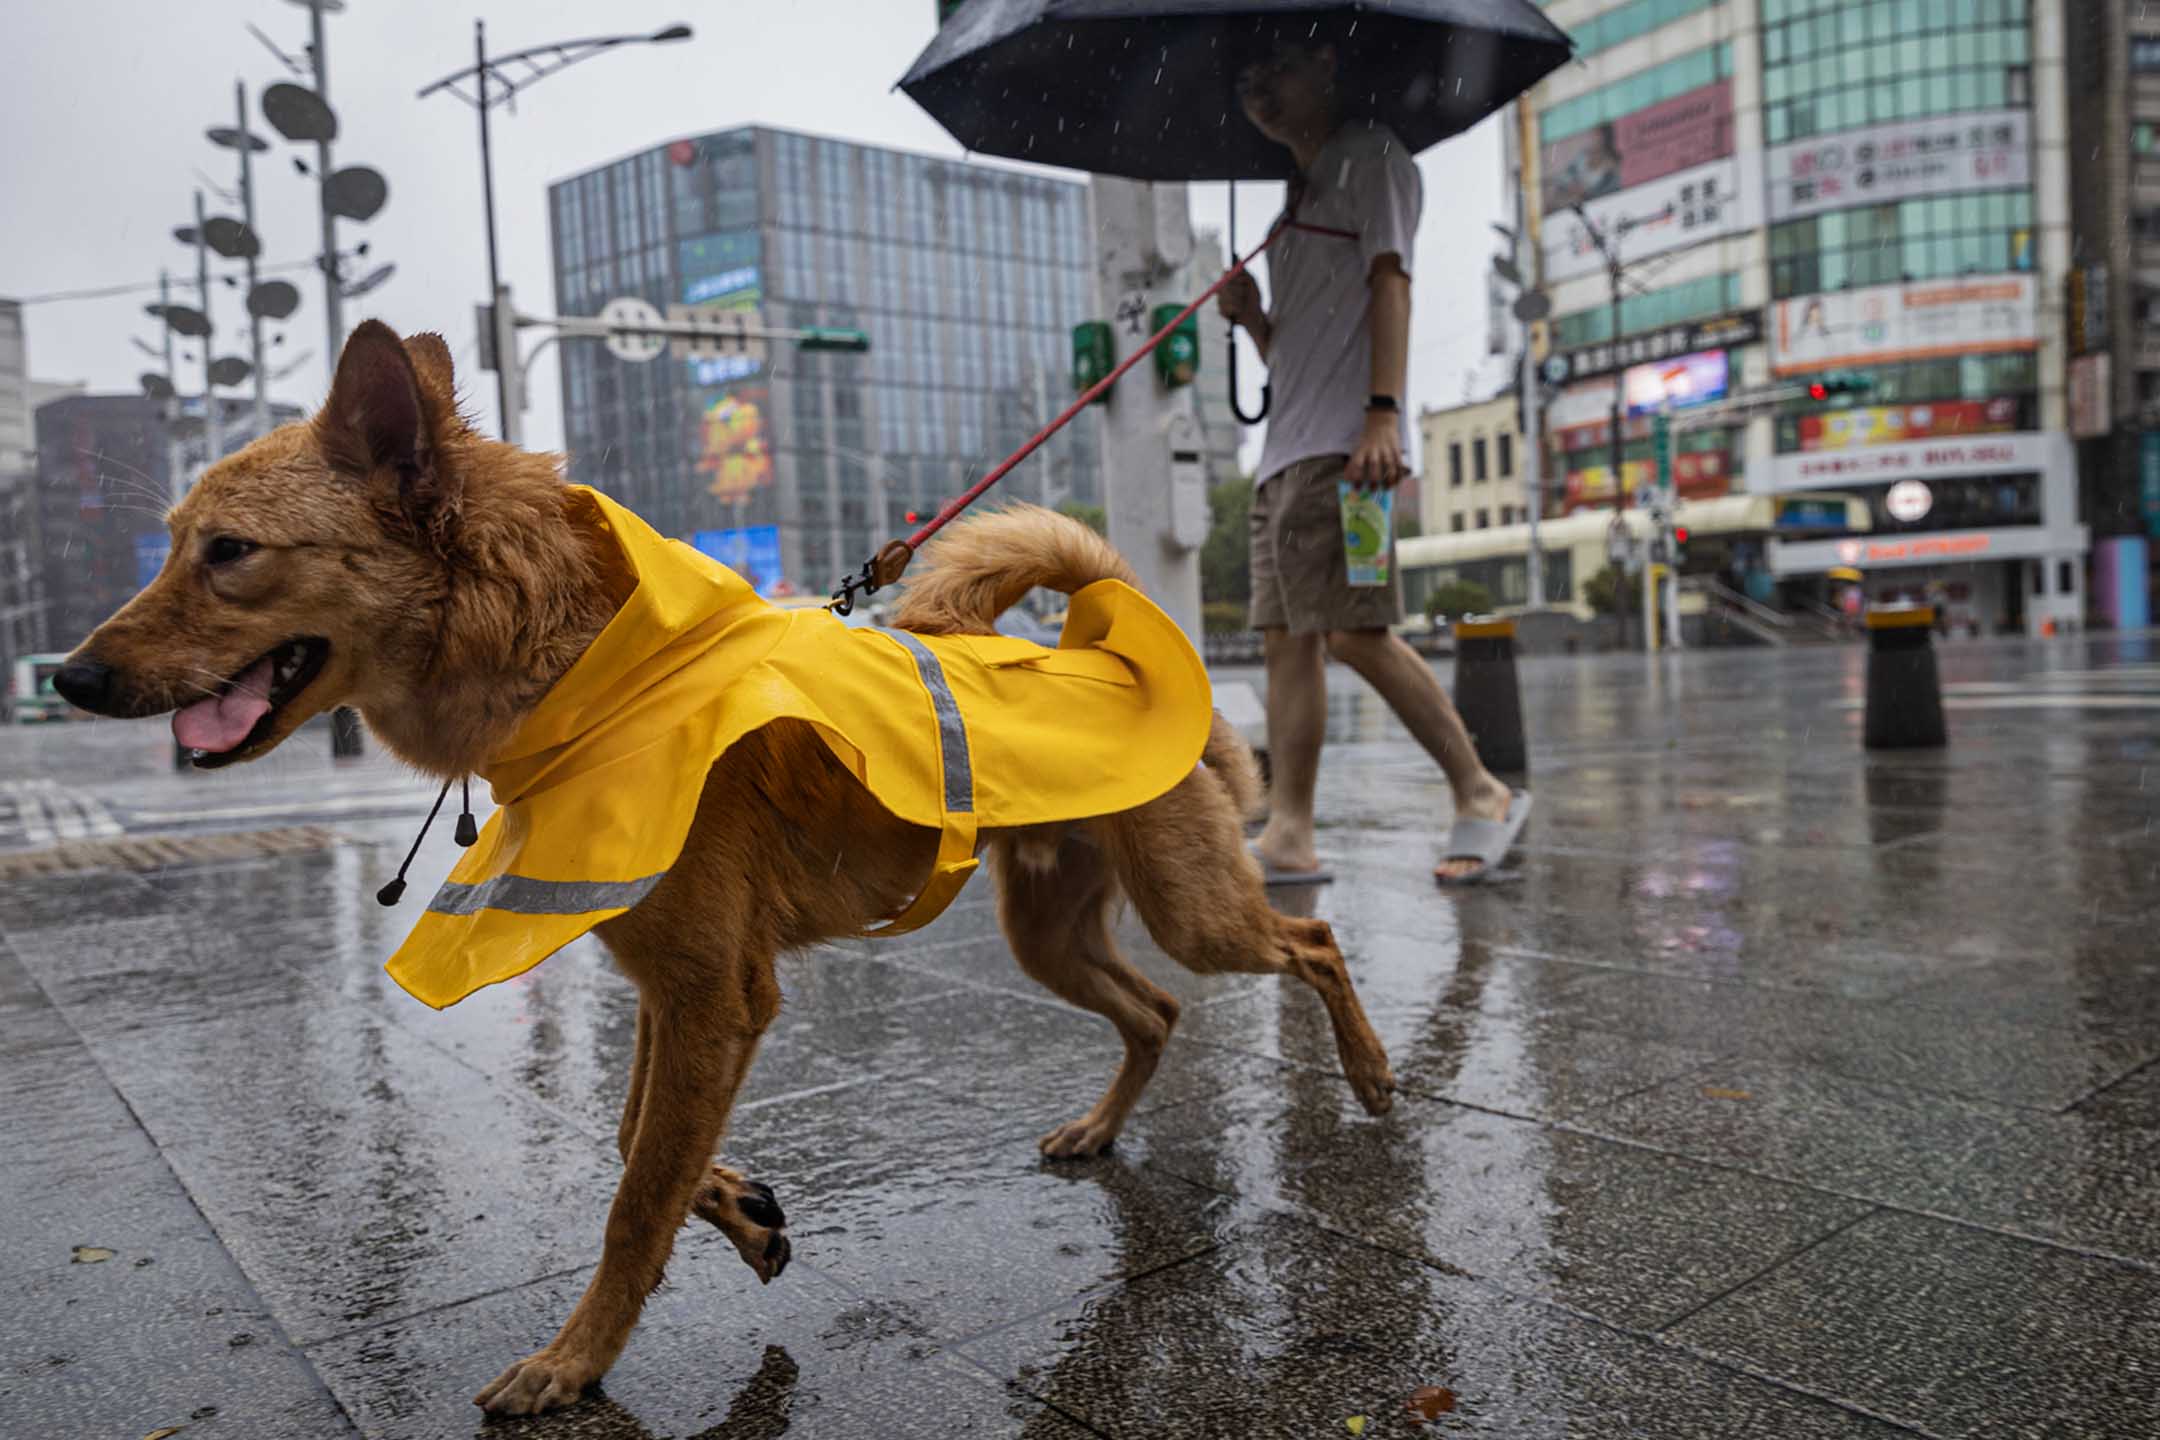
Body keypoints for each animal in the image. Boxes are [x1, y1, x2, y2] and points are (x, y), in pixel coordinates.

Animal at [59, 321, 1399, 1416]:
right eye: (171, 546)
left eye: (228, 551)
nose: (69, 678)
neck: (586, 664)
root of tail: (1111, 644)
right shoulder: (673, 986)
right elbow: (632, 1143)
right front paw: (745, 1212)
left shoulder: (714, 993)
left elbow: (633, 1197)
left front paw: (577, 1361)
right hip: (1051, 934)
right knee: (1158, 1010)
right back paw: (1103, 1128)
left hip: (1192, 905)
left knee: (1309, 943)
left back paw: (1374, 1076)